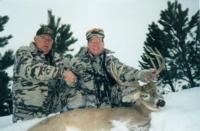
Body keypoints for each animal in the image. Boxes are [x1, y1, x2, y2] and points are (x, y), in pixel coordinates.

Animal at [28, 47, 166, 131]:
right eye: (144, 95)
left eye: (157, 90)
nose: (161, 102)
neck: (140, 113)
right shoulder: (112, 122)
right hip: (59, 127)